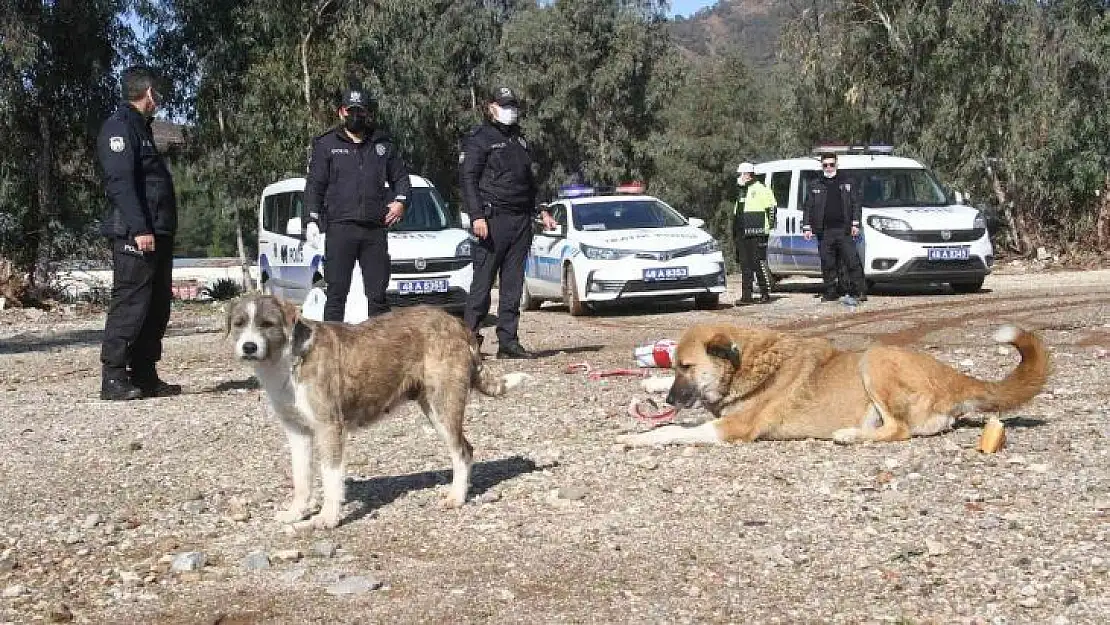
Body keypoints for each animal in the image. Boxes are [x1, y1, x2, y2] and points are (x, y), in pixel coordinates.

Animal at [225, 295, 528, 530]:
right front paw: (296, 513)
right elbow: (301, 479)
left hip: (444, 406)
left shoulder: (329, 428)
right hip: (432, 407)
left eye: (267, 324)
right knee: (466, 449)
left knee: (463, 452)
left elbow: (330, 477)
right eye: (239, 323)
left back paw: (456, 497)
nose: (249, 347)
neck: (288, 359)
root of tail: (457, 323)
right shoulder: (297, 433)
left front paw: (328, 517)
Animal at [621, 321, 1043, 450]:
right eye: (675, 365)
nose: (672, 398)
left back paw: (849, 435)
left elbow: (676, 428)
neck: (747, 364)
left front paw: (639, 436)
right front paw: (652, 385)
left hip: (873, 359)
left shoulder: (734, 427)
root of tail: (952, 375)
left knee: (899, 430)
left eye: (688, 367)